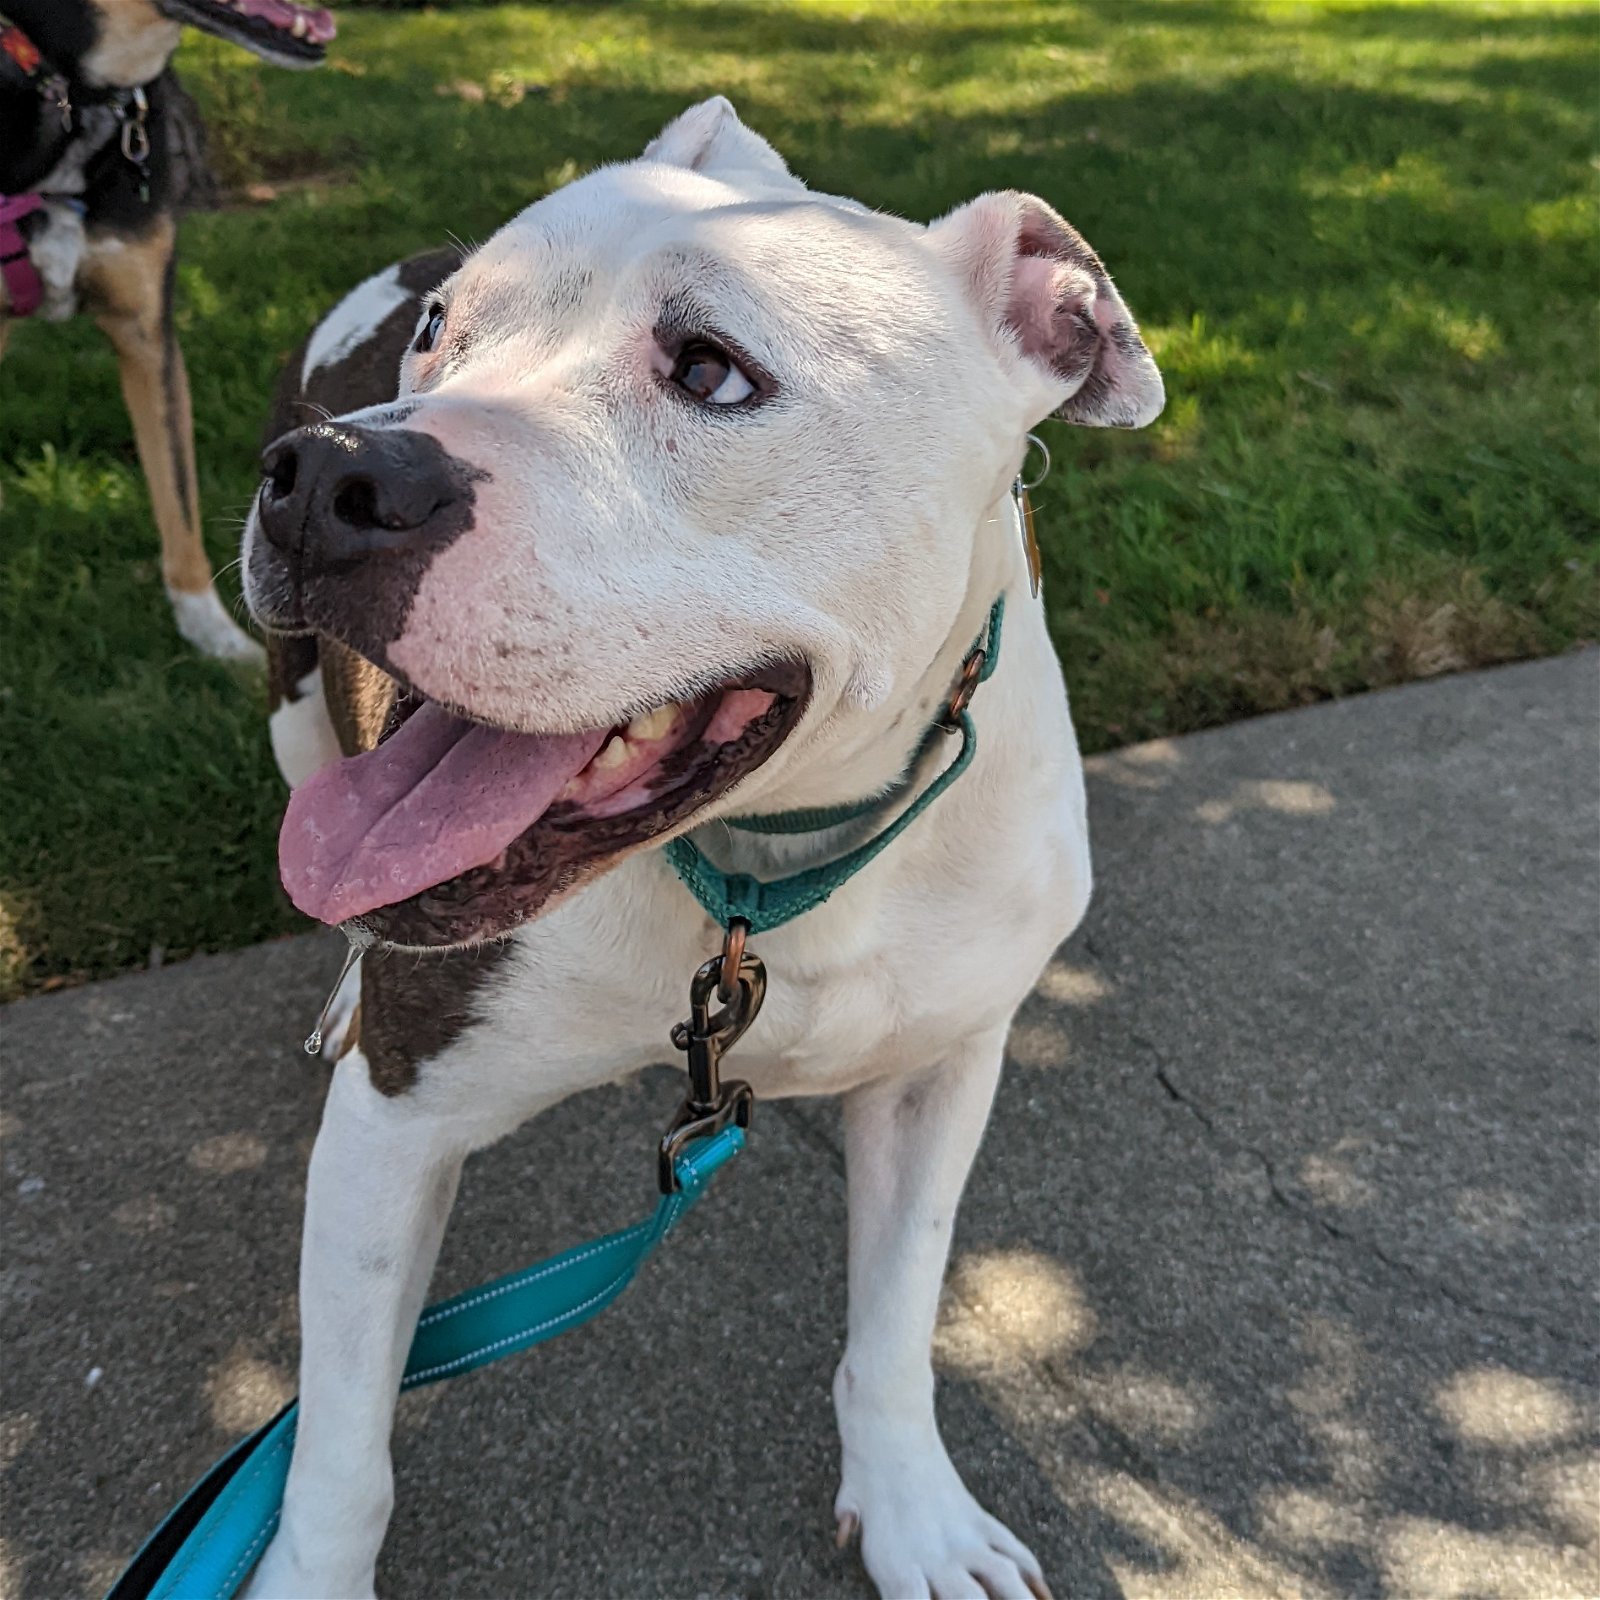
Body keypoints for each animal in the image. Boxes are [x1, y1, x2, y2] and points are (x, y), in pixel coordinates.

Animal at [240, 100, 1164, 1600]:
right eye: (440, 335)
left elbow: (895, 1323)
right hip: (292, 717)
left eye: (711, 371)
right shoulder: (395, 1125)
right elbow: (338, 1446)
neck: (767, 864)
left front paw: (914, 1512)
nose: (328, 472)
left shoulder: (942, 1070)